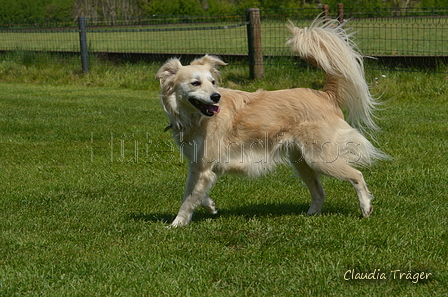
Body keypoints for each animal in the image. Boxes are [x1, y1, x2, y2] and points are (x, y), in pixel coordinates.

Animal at [157, 17, 384, 225]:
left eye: (213, 82)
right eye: (195, 83)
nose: (216, 97)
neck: (195, 118)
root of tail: (324, 94)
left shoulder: (203, 167)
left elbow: (188, 199)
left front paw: (176, 224)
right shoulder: (199, 167)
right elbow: (196, 194)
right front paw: (210, 205)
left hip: (320, 159)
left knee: (357, 175)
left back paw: (366, 207)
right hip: (301, 161)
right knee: (319, 192)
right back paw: (311, 214)